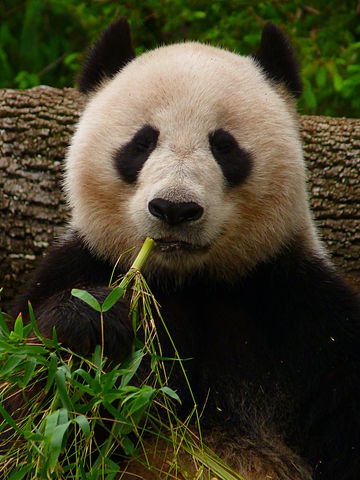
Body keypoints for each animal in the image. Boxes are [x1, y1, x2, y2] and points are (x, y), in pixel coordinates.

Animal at [13, 16, 360, 478]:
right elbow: (30, 418)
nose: (175, 208)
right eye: (142, 142)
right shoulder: (78, 264)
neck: (191, 283)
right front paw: (90, 322)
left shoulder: (302, 310)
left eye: (224, 145)